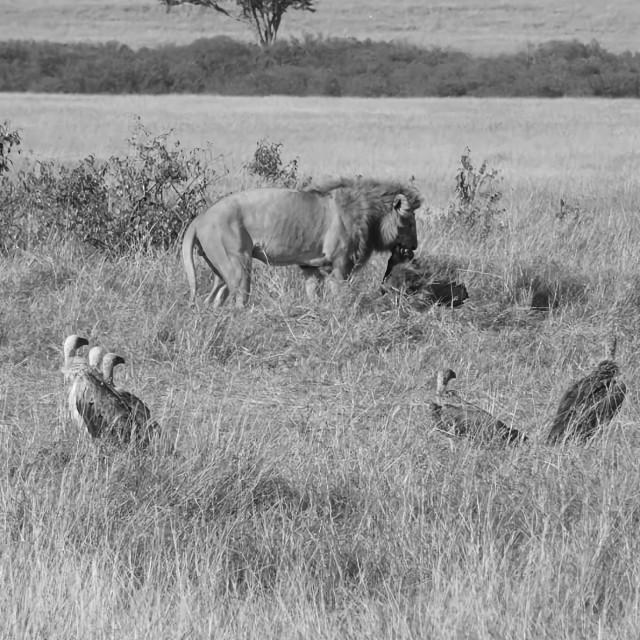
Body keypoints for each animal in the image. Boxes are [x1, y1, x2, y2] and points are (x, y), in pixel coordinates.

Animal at [181, 178, 420, 308]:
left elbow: (313, 294)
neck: (369, 215)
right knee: (239, 298)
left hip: (219, 269)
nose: (415, 247)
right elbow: (340, 296)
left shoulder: (310, 267)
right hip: (238, 264)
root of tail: (199, 218)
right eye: (410, 224)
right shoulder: (340, 265)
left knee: (212, 299)